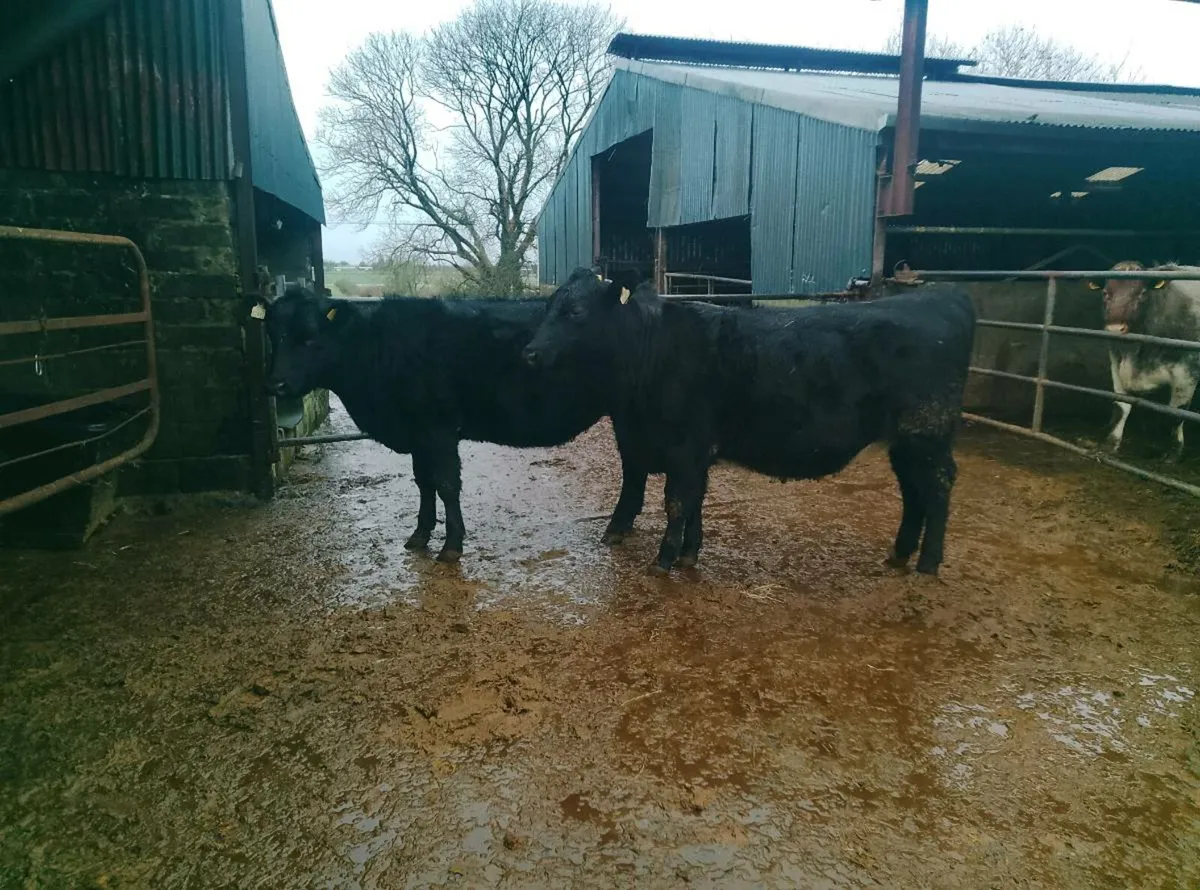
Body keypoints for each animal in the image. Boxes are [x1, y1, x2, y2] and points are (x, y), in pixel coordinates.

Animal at [260, 285, 649, 563]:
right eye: (274, 335)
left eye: (310, 337)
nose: (276, 384)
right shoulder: (418, 433)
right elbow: (423, 482)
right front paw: (419, 536)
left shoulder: (438, 428)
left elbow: (446, 484)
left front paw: (451, 547)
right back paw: (620, 527)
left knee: (635, 466)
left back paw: (617, 526)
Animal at [521, 268, 977, 577]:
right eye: (548, 307)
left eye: (575, 311)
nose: (529, 353)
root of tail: (942, 296)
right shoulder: (665, 447)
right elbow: (680, 499)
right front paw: (687, 554)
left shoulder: (685, 447)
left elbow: (676, 502)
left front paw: (664, 560)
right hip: (907, 440)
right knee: (913, 491)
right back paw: (900, 554)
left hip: (928, 432)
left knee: (937, 488)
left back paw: (928, 563)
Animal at [1089, 262, 1200, 463]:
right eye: (1106, 293)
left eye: (1141, 293)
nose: (1115, 328)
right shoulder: (1116, 360)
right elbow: (1121, 406)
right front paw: (1111, 442)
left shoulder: (1188, 370)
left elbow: (1177, 413)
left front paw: (1173, 454)